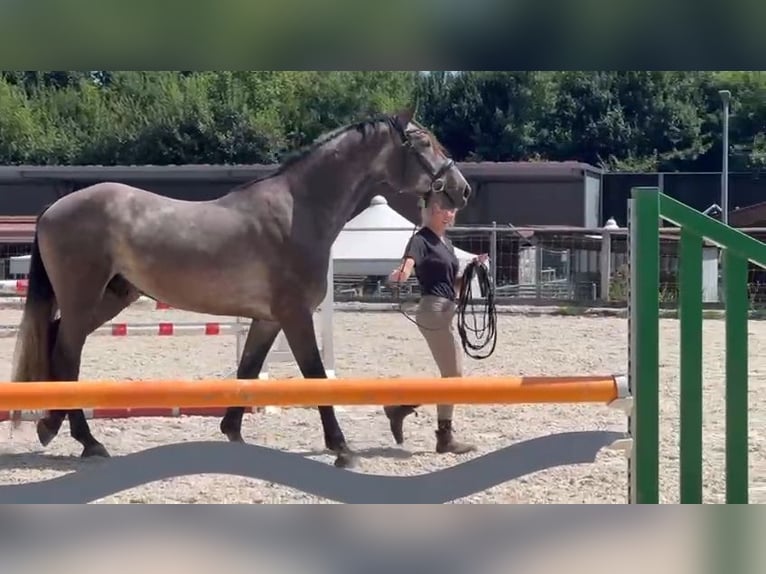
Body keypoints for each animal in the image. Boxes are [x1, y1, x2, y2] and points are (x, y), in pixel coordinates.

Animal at [9, 107, 472, 469]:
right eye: (423, 142)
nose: (461, 189)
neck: (298, 211)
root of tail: (54, 207)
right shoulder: (294, 315)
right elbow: (315, 374)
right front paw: (342, 448)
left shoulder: (268, 320)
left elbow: (248, 369)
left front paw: (231, 431)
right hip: (83, 298)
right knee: (66, 355)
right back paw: (86, 441)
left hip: (111, 297)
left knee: (58, 347)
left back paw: (54, 427)